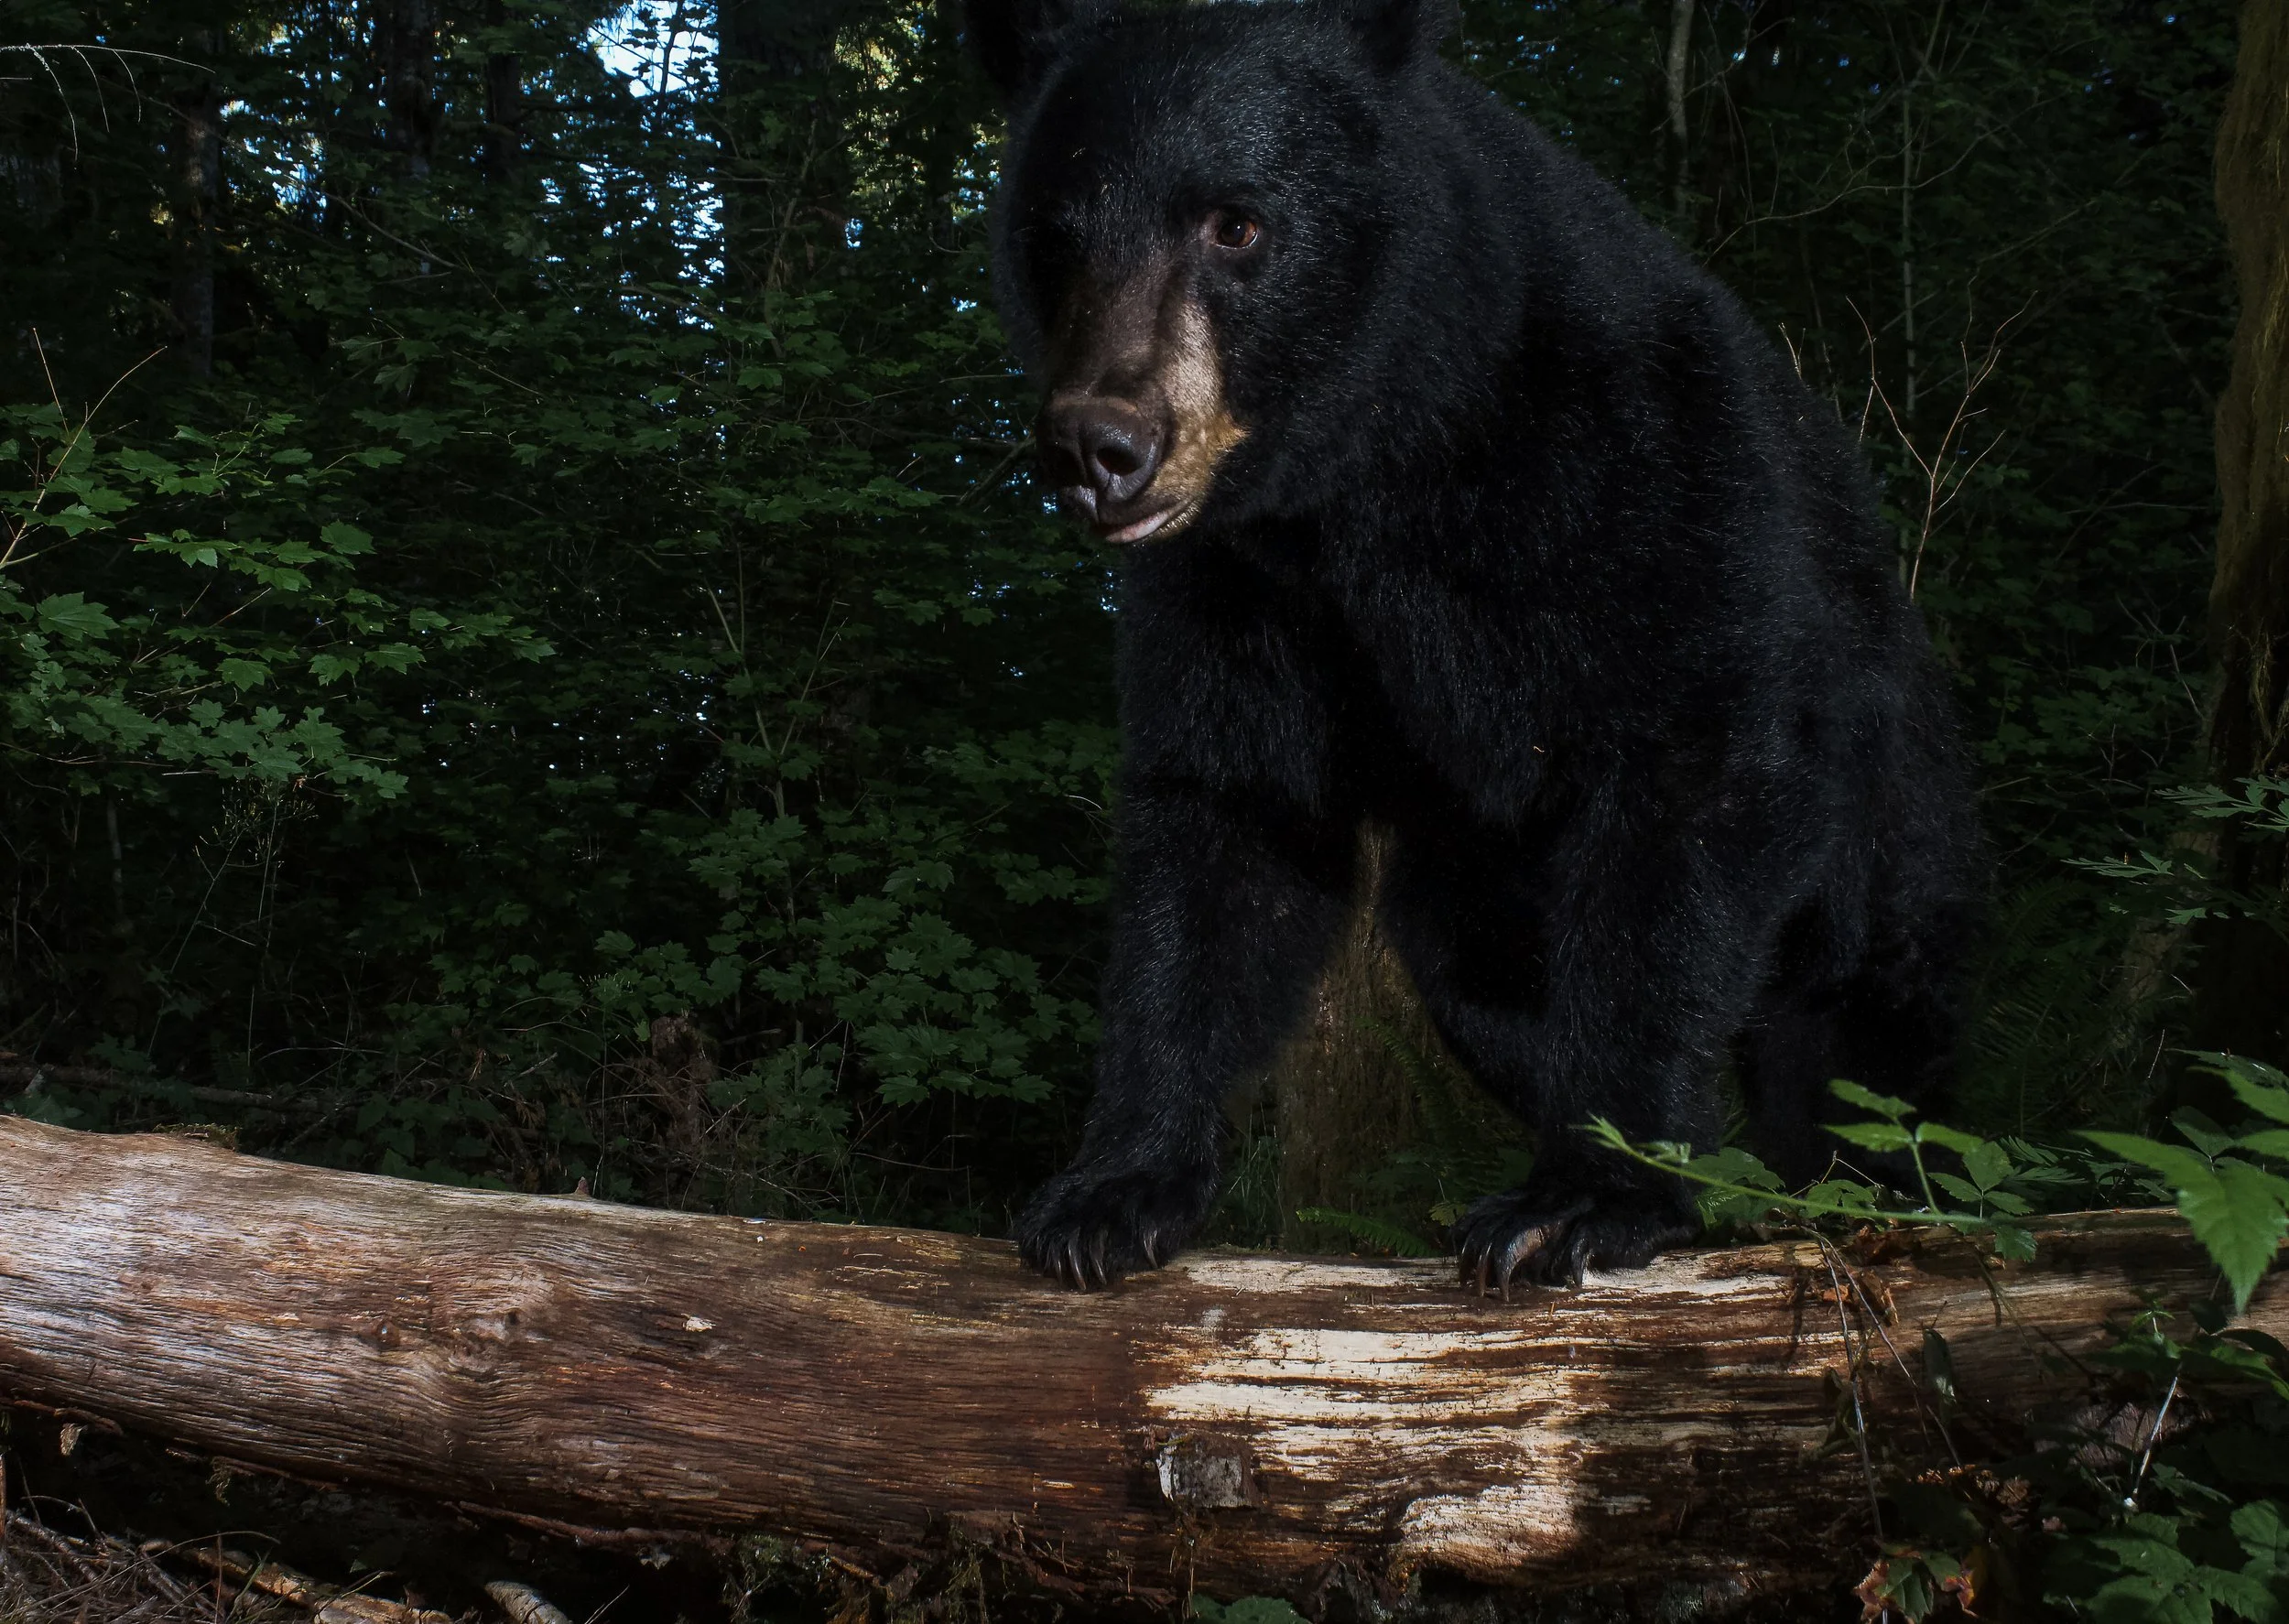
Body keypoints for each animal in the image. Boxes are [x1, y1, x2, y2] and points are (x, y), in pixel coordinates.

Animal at [967, 0, 1982, 1292]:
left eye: (1236, 223)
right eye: (1051, 241)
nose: (1100, 446)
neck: (1384, 462)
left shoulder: (1650, 467)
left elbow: (1687, 783)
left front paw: (1585, 1197)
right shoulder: (1239, 589)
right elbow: (1227, 822)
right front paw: (1115, 1188)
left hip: (1889, 808)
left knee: (1862, 1041)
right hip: (1475, 882)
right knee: (1486, 977)